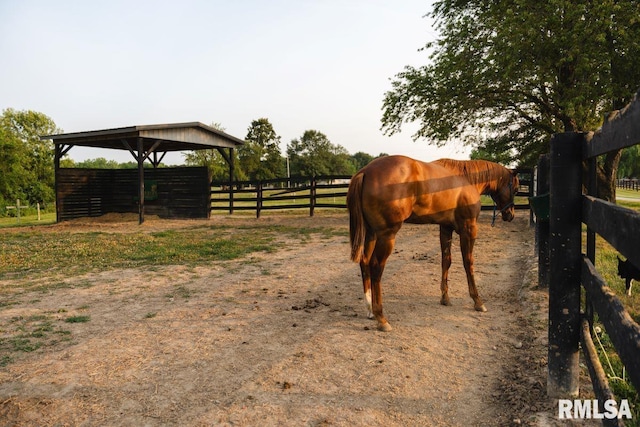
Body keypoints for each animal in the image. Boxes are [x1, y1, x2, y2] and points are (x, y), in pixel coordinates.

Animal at [348, 155, 516, 332]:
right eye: (515, 189)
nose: (510, 214)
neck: (468, 179)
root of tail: (365, 172)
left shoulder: (446, 228)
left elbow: (446, 261)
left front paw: (445, 298)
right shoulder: (469, 229)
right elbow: (468, 263)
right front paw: (478, 301)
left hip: (371, 233)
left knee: (364, 262)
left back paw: (370, 310)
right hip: (387, 235)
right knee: (376, 267)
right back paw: (381, 318)